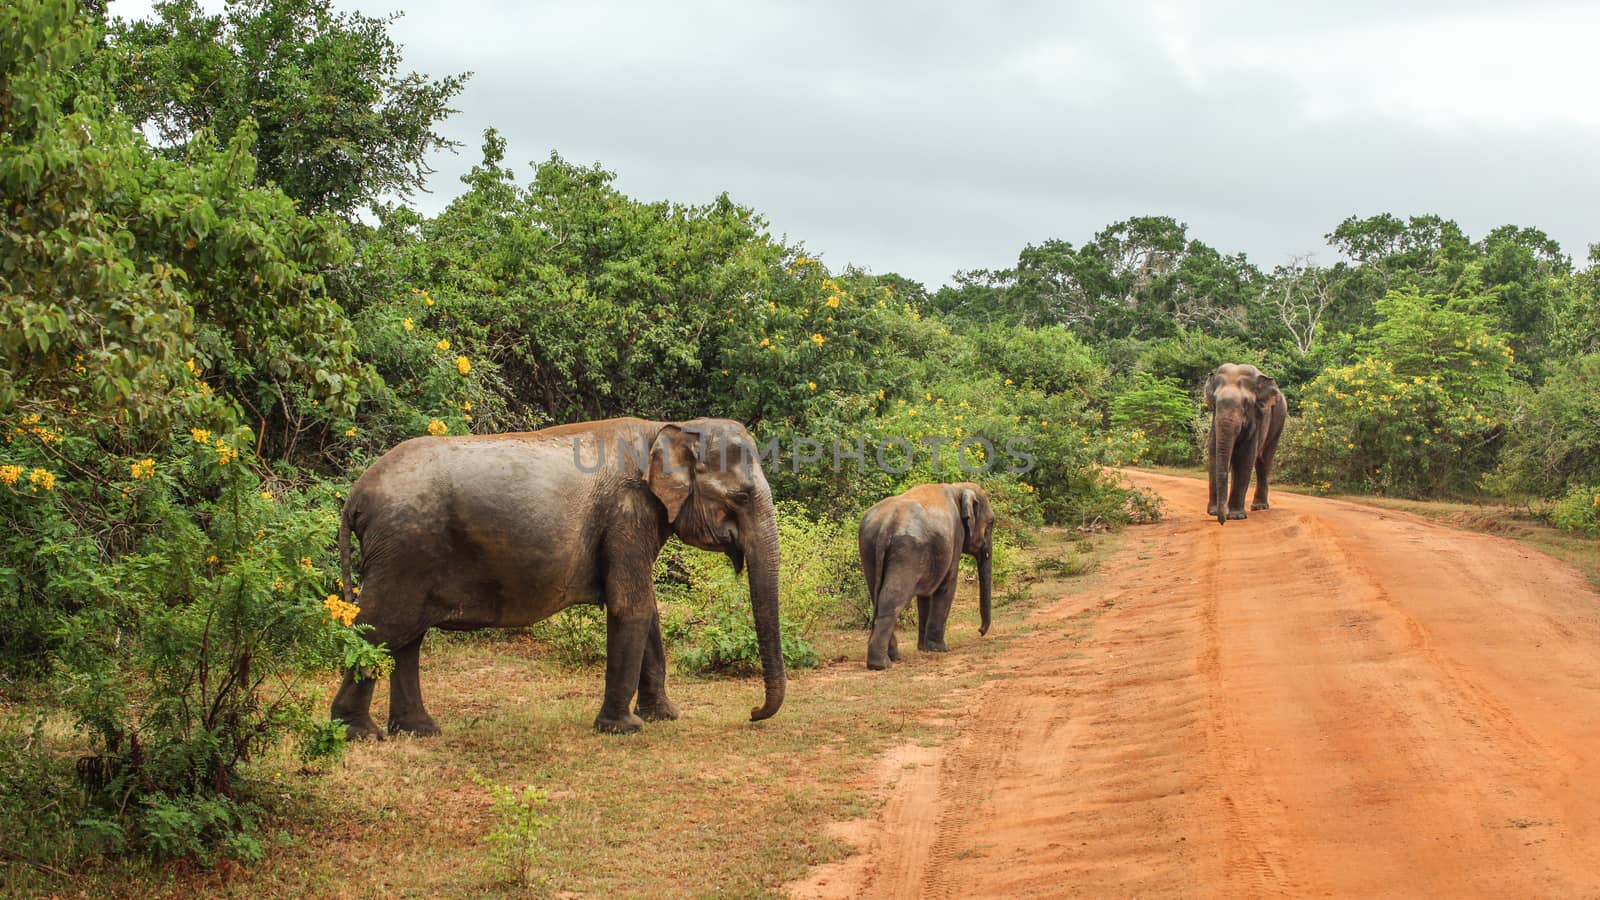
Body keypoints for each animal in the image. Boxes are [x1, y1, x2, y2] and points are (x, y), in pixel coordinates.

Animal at [329, 416, 787, 733]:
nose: (751, 712)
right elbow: (632, 606)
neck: (668, 428)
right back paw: (357, 732)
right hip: (405, 549)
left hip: (406, 554)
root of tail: (355, 496)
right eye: (741, 496)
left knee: (405, 636)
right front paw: (623, 729)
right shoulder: (626, 512)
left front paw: (665, 717)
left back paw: (419, 731)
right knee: (383, 626)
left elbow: (649, 611)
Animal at [857, 483, 992, 666]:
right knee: (891, 598)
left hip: (868, 547)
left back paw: (894, 657)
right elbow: (947, 585)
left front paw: (924, 648)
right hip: (907, 549)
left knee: (875, 596)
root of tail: (885, 525)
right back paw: (881, 664)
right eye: (991, 523)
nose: (980, 631)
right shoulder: (956, 537)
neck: (959, 487)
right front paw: (940, 649)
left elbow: (925, 595)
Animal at [1209, 360, 1286, 522]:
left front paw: (1236, 516)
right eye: (1215, 402)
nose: (1222, 521)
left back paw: (1259, 507)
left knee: (1264, 462)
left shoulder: (1257, 419)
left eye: (1246, 404)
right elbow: (1213, 454)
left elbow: (1245, 457)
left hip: (1279, 421)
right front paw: (1213, 512)